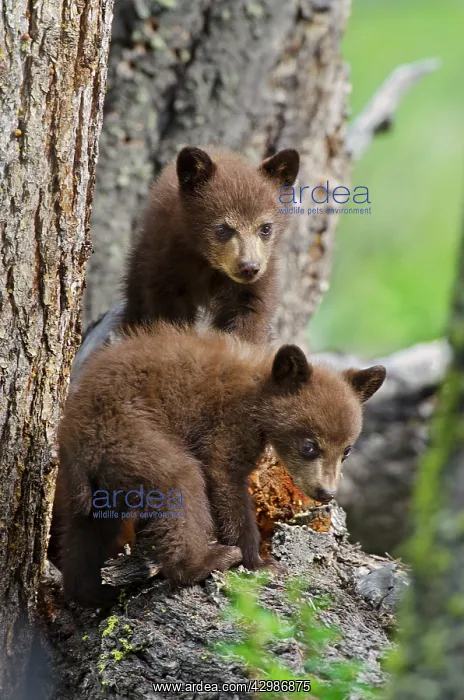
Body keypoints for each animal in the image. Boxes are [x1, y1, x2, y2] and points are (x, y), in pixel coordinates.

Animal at [52, 323, 386, 606]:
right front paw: (261, 563)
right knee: (180, 482)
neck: (259, 390)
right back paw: (204, 562)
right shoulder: (230, 421)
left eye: (347, 450)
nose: (326, 492)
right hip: (129, 434)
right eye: (309, 446)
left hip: (94, 479)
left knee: (87, 527)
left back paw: (91, 591)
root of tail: (73, 433)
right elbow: (223, 476)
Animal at [123, 146, 300, 343]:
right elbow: (168, 312)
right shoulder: (168, 264)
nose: (249, 267)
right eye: (222, 228)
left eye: (266, 228)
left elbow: (251, 314)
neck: (210, 265)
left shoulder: (260, 279)